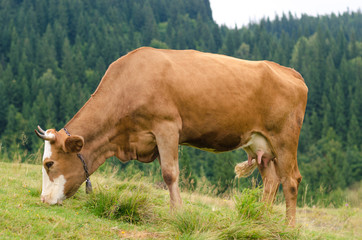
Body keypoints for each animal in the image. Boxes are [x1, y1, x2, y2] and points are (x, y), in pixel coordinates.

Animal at [35, 46, 308, 225]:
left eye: (49, 163)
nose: (44, 200)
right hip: (261, 144)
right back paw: (260, 221)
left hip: (285, 138)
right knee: (271, 180)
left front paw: (177, 215)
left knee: (291, 180)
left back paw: (289, 227)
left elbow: (169, 174)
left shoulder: (166, 126)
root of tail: (291, 72)